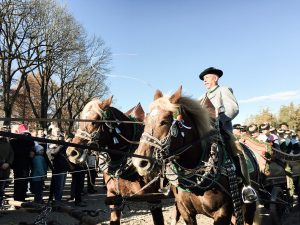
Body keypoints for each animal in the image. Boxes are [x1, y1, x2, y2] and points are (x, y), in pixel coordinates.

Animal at [133, 86, 258, 225]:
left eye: (164, 121)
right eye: (145, 121)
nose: (140, 162)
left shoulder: (223, 212)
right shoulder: (186, 212)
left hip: (249, 207)